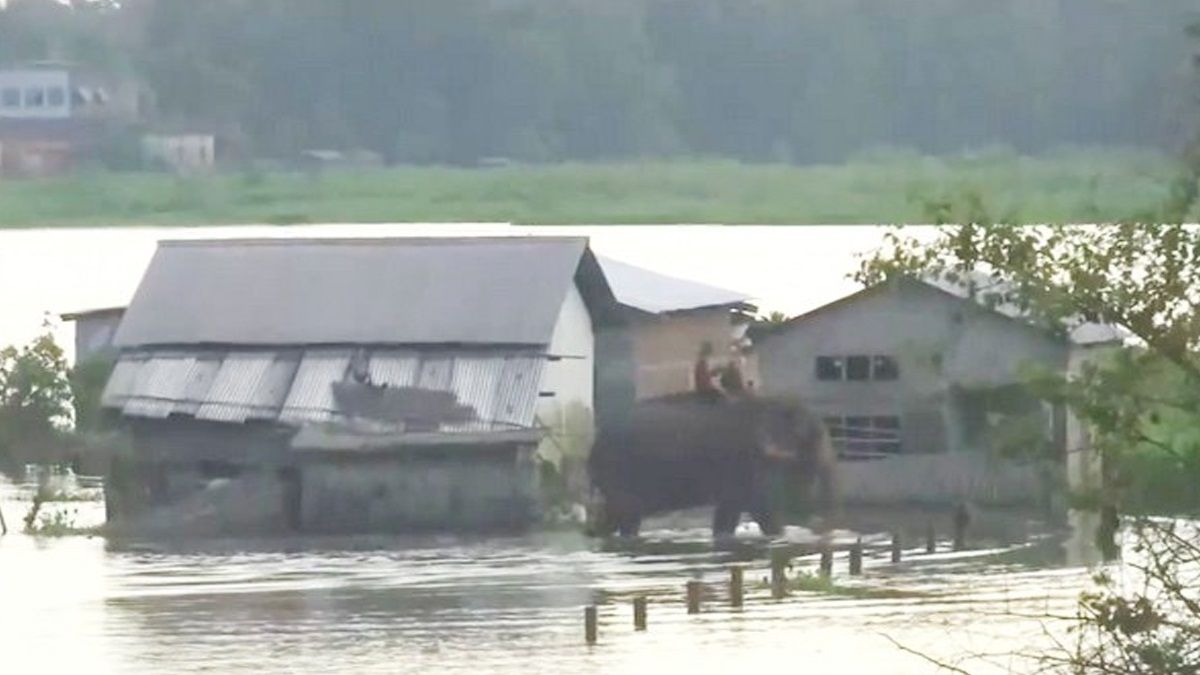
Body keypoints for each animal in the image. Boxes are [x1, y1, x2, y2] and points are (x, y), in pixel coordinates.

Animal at [585, 372, 840, 535]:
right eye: (812, 433)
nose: (819, 526)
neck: (765, 401)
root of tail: (593, 446)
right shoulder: (743, 460)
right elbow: (754, 508)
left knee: (609, 520)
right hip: (619, 474)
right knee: (626, 516)